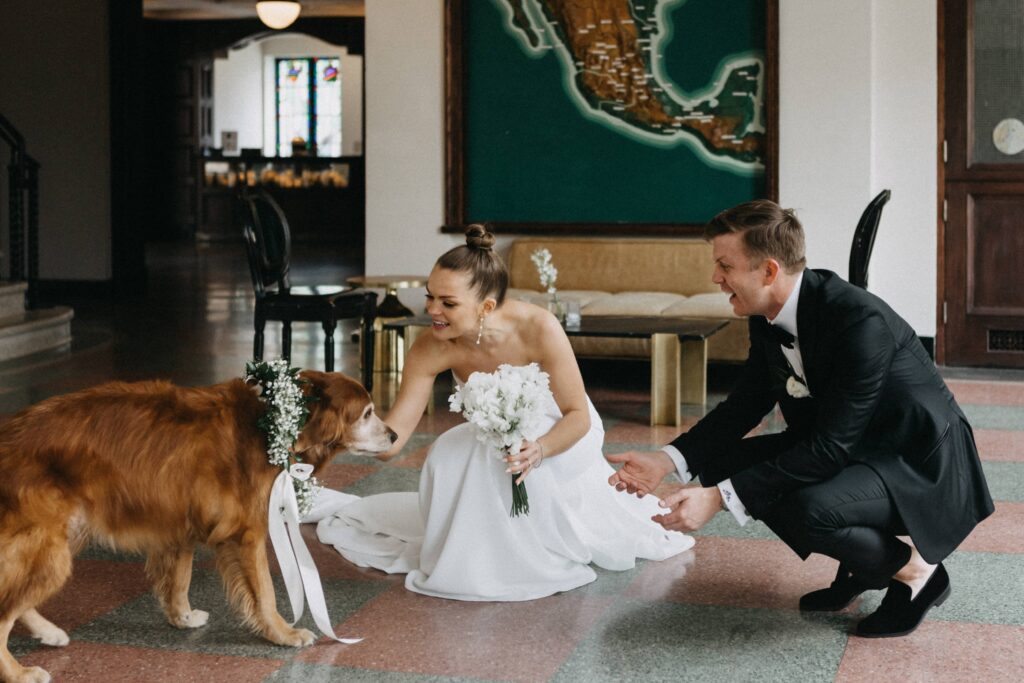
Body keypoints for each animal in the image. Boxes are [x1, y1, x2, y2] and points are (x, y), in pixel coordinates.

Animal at [0, 374, 395, 683]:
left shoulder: (178, 529)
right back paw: (19, 672)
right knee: (4, 611)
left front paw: (182, 617)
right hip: (49, 550)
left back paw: (49, 633)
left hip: (62, 539)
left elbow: (179, 579)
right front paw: (282, 633)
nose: (393, 435)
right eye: (367, 413)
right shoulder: (247, 535)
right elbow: (265, 594)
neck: (270, 422)